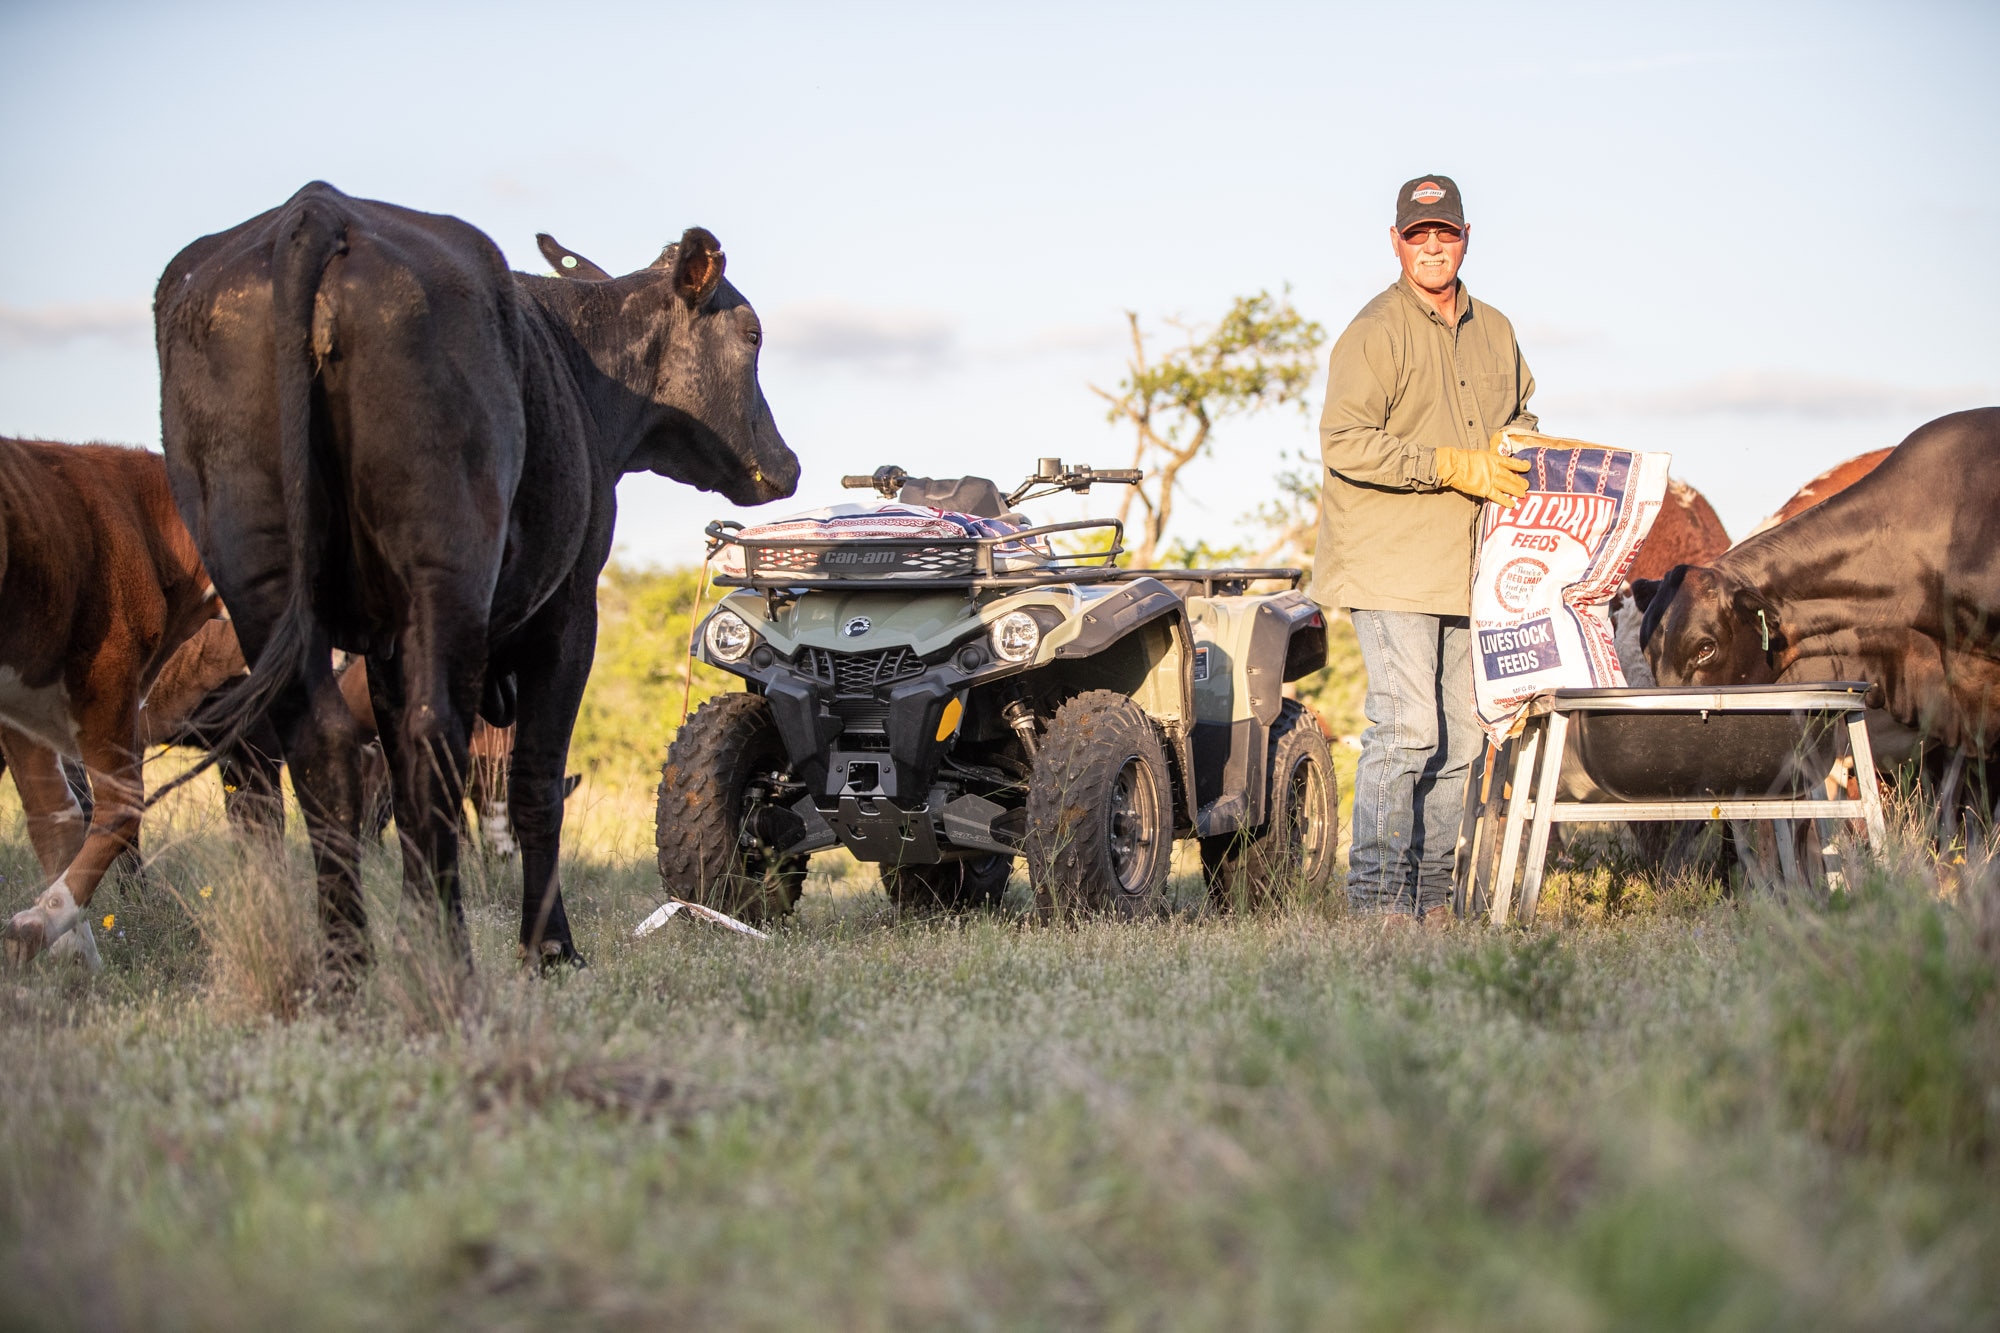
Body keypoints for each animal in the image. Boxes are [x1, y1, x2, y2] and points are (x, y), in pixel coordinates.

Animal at [156, 182, 796, 972]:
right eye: (753, 334)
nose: (789, 463)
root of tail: (320, 208)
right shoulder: (570, 610)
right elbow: (535, 782)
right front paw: (550, 948)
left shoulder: (383, 643)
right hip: (448, 567)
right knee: (433, 742)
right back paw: (446, 956)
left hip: (260, 574)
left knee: (327, 752)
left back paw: (352, 962)